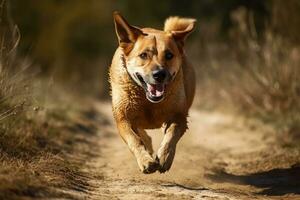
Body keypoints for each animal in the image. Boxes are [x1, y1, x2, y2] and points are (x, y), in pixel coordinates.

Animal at [109, 11, 196, 173]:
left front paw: (164, 158)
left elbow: (171, 135)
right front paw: (146, 161)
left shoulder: (180, 116)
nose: (159, 74)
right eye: (143, 55)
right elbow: (135, 139)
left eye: (169, 55)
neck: (147, 101)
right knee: (142, 136)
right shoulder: (123, 118)